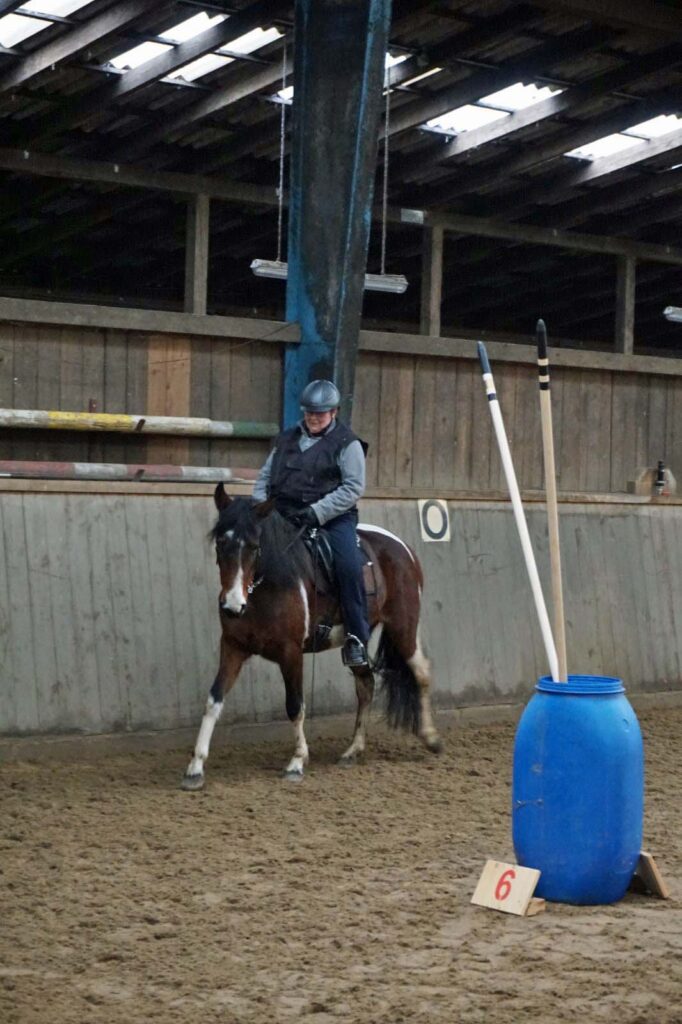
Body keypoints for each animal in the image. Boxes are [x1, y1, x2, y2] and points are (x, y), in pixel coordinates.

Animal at [180, 483, 440, 786]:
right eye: (221, 543)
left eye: (255, 547)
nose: (233, 605)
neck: (265, 587)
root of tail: (403, 548)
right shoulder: (233, 647)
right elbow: (214, 700)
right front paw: (195, 767)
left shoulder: (291, 652)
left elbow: (295, 705)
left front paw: (297, 761)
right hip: (357, 640)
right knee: (366, 685)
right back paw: (352, 750)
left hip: (403, 627)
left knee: (421, 672)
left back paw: (431, 738)